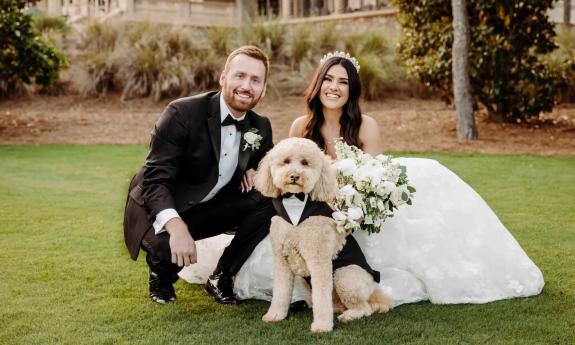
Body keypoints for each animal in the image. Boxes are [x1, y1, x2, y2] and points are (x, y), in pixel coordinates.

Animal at [254, 136, 394, 330]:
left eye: (305, 163)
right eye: (286, 161)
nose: (294, 176)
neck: (296, 204)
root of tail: (373, 292)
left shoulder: (319, 260)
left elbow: (322, 295)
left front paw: (321, 326)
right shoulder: (282, 260)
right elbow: (281, 291)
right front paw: (275, 315)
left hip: (345, 275)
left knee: (364, 308)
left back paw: (348, 315)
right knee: (335, 302)